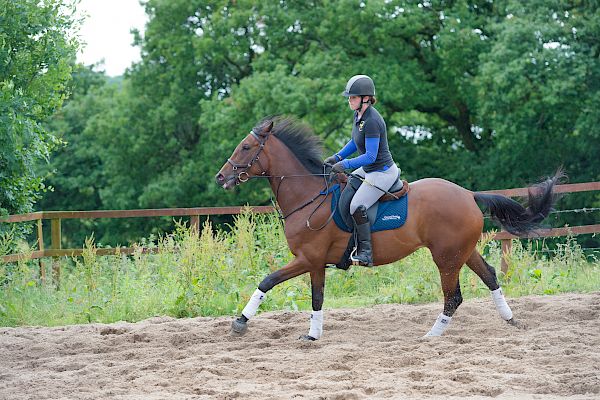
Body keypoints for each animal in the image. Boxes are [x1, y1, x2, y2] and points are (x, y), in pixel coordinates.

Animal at [213, 115, 560, 340]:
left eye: (246, 148)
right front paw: (313, 335)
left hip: (446, 258)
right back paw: (511, 320)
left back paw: (431, 336)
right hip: (462, 251)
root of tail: (468, 194)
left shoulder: (308, 259)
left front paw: (240, 323)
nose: (220, 177)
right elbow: (317, 298)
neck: (309, 196)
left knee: (453, 297)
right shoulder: (316, 264)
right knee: (489, 276)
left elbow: (269, 281)